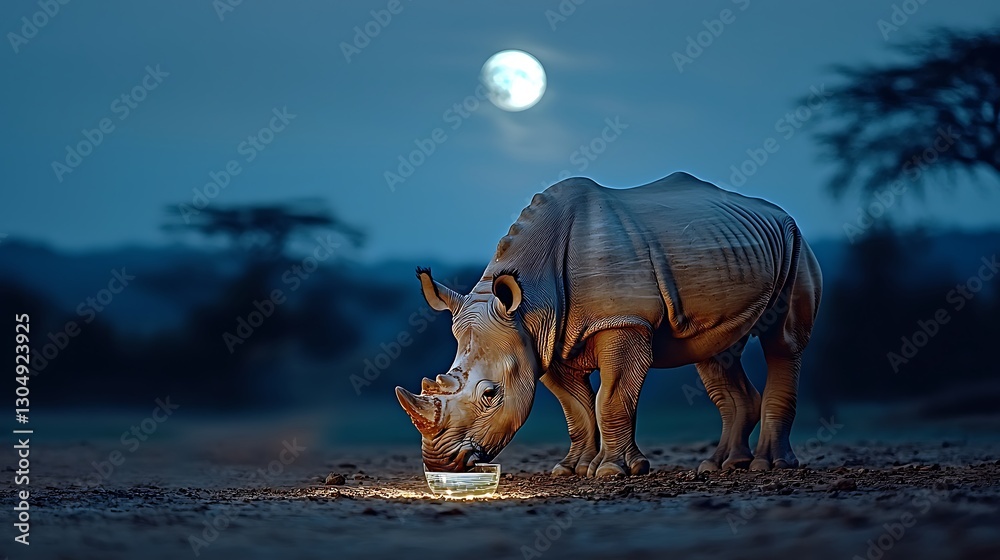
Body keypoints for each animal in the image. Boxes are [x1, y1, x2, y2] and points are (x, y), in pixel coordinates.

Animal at [396, 172, 822, 477]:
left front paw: (613, 472)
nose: (438, 463)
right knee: (716, 354)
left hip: (795, 243)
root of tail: (778, 213)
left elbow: (611, 400)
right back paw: (722, 466)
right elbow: (577, 409)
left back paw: (769, 465)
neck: (529, 302)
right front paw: (571, 470)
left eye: (490, 395)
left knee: (783, 343)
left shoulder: (623, 323)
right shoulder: (544, 341)